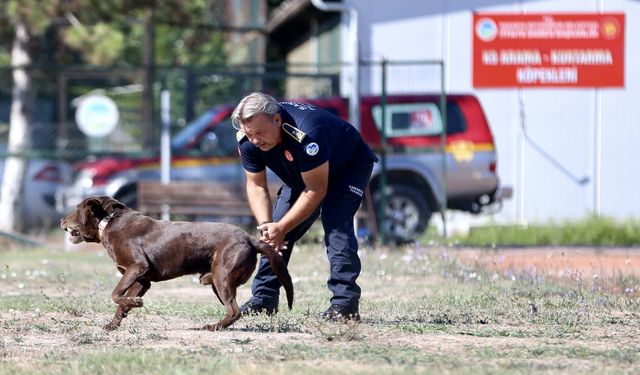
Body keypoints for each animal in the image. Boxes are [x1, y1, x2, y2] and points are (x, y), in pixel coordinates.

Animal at [61, 197, 292, 332]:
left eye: (75, 210)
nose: (61, 220)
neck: (107, 222)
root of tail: (250, 238)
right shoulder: (142, 280)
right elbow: (120, 302)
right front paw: (115, 322)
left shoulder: (137, 267)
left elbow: (115, 294)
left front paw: (136, 303)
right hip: (220, 282)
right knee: (232, 309)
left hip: (223, 277)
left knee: (235, 311)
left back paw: (213, 326)